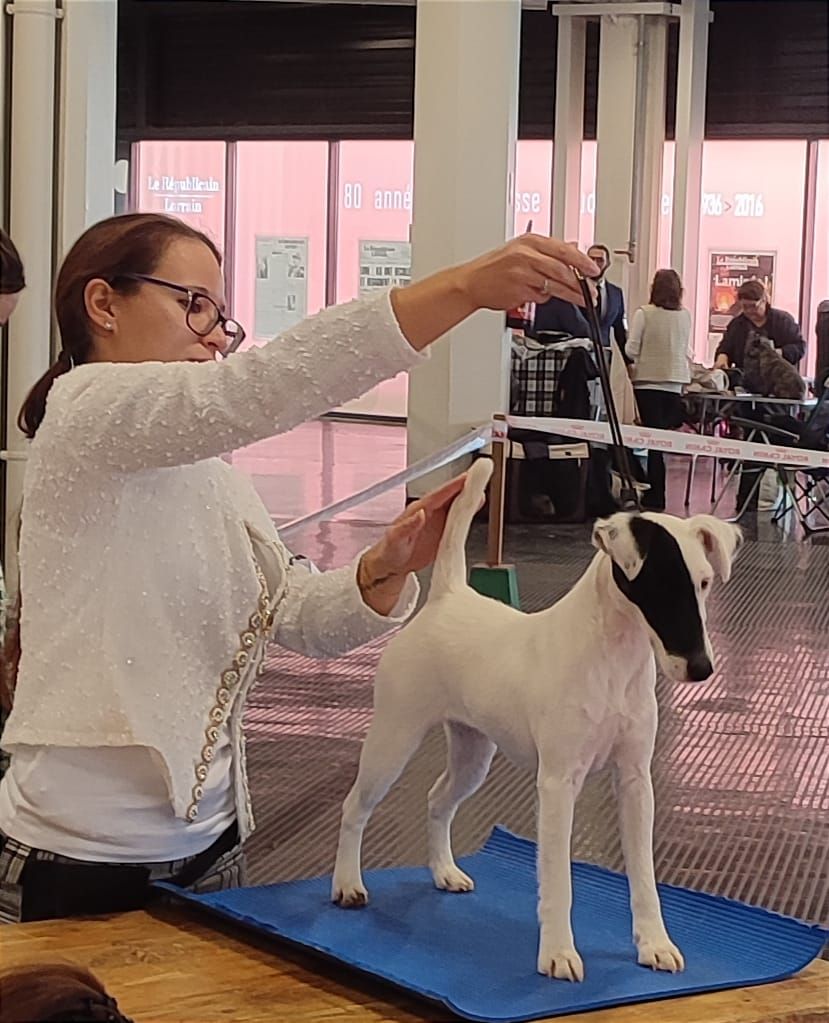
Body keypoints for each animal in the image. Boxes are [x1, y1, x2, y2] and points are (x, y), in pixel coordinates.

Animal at [333, 460, 740, 977]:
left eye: (704, 583)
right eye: (659, 585)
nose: (702, 669)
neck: (613, 660)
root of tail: (447, 597)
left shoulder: (634, 781)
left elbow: (645, 878)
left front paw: (654, 943)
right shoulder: (558, 784)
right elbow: (558, 880)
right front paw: (559, 953)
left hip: (472, 754)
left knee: (438, 801)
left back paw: (445, 871)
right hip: (393, 741)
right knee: (355, 808)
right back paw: (347, 884)